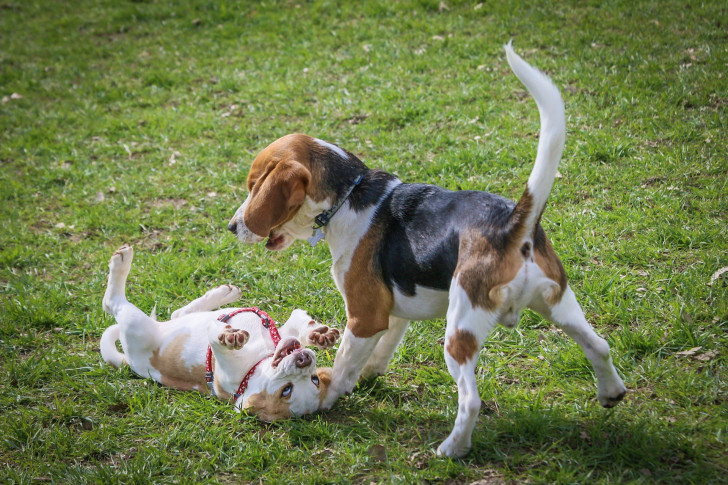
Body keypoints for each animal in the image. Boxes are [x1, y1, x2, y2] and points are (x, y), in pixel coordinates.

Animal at [99, 246, 338, 420]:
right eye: (316, 379)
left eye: (287, 391)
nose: (305, 359)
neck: (257, 361)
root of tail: (128, 361)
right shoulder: (281, 331)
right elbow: (300, 320)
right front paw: (320, 334)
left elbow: (216, 340)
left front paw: (228, 336)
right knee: (179, 313)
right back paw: (223, 293)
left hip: (135, 324)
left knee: (112, 303)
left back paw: (120, 262)